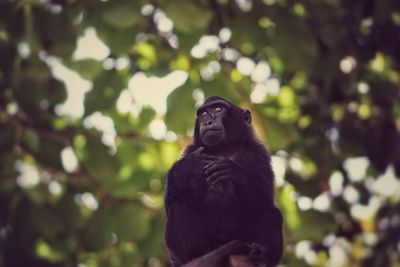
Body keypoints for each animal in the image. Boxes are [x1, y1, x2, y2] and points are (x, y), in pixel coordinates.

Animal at [164, 97, 282, 266]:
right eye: (203, 114)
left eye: (218, 109)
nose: (207, 122)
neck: (223, 149)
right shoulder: (190, 150)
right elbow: (169, 203)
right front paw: (186, 167)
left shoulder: (258, 154)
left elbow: (263, 202)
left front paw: (232, 171)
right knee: (181, 201)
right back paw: (194, 255)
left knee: (272, 214)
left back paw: (262, 255)